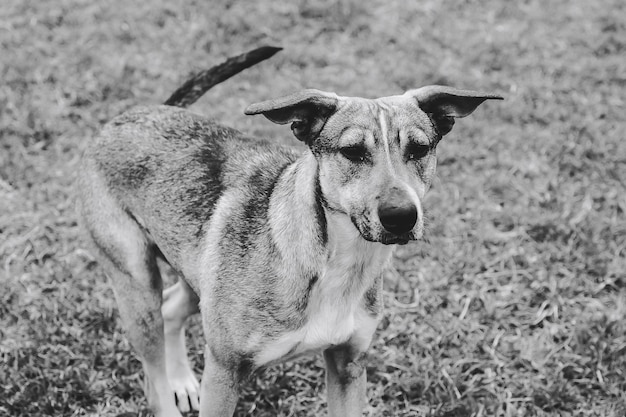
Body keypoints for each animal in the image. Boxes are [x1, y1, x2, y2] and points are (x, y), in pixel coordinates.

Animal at [79, 47, 502, 414]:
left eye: (419, 148)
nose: (400, 216)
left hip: (196, 273)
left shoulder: (348, 366)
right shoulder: (225, 372)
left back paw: (180, 381)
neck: (337, 261)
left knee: (171, 309)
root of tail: (137, 113)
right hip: (136, 285)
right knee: (153, 373)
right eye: (352, 151)